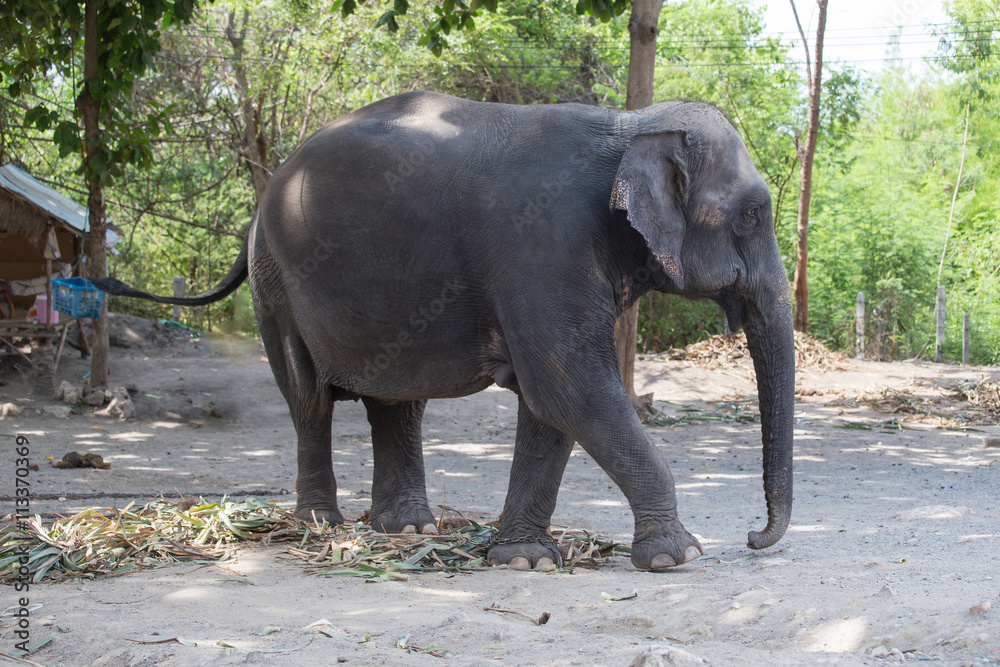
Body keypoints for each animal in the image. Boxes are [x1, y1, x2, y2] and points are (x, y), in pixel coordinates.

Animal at [95, 90, 794, 572]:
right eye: (752, 214)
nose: (753, 537)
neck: (629, 127)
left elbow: (553, 402)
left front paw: (523, 561)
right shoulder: (540, 246)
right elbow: (571, 388)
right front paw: (679, 556)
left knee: (396, 402)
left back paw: (406, 532)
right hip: (277, 283)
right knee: (309, 398)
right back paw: (322, 526)